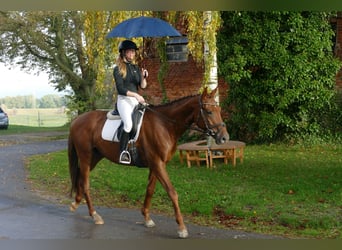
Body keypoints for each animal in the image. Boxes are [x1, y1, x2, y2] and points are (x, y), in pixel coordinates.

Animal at [68, 88, 228, 238]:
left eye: (219, 110)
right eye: (209, 112)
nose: (224, 138)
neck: (165, 124)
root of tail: (77, 120)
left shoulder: (156, 165)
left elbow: (150, 190)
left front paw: (146, 218)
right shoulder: (158, 164)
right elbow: (172, 192)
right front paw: (182, 228)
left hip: (94, 157)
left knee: (80, 179)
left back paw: (76, 203)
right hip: (85, 156)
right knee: (86, 183)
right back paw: (94, 215)